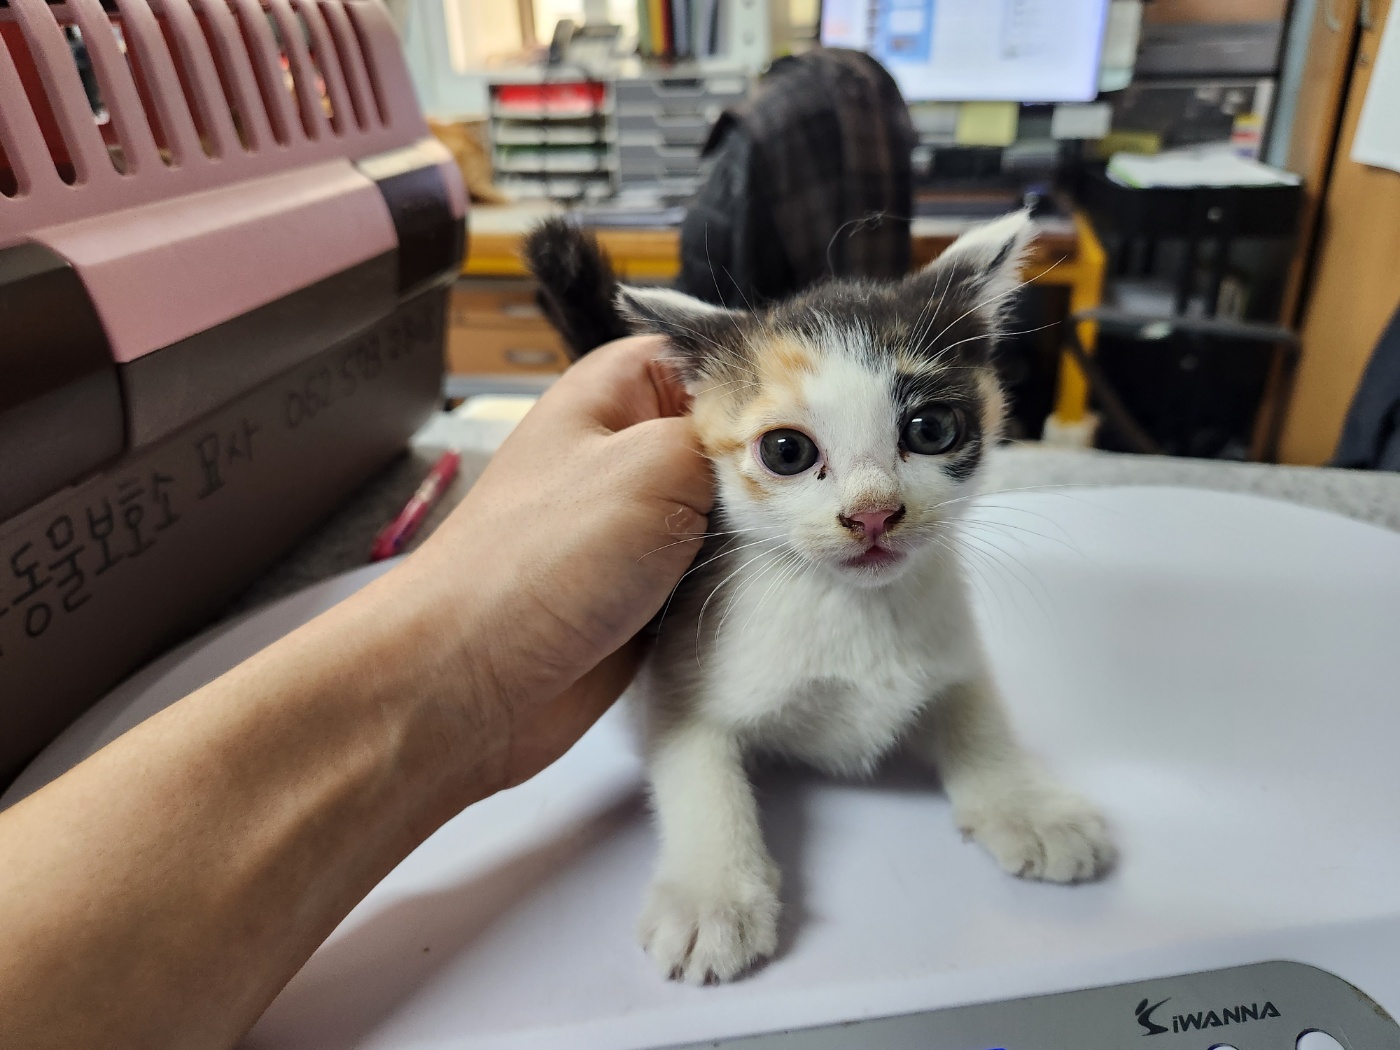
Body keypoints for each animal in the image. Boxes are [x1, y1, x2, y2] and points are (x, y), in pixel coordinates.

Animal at [526, 211, 1114, 985]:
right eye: (787, 451)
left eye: (931, 429)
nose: (873, 514)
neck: (847, 606)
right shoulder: (682, 662)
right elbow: (697, 770)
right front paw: (712, 896)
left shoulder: (951, 639)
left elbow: (975, 706)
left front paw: (1027, 805)